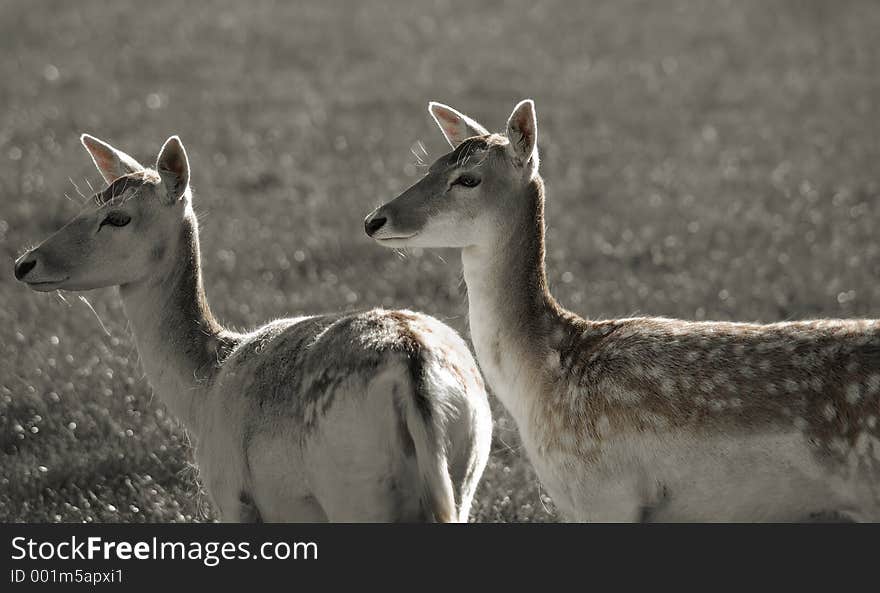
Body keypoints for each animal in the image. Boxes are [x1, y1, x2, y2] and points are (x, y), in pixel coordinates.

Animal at [13, 133, 492, 520]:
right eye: (89, 201)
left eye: (118, 218)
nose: (24, 264)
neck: (203, 390)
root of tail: (413, 365)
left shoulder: (231, 493)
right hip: (463, 472)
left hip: (355, 488)